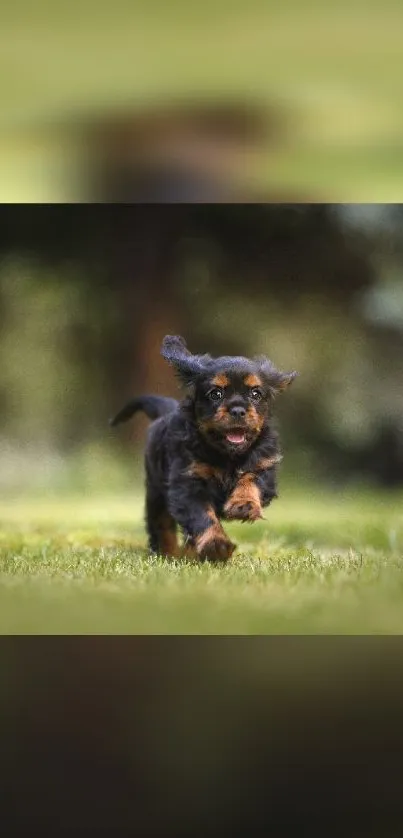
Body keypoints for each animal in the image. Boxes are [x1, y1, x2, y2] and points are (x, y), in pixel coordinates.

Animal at [110, 336, 296, 564]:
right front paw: (216, 545)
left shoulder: (264, 466)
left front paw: (243, 504)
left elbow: (250, 479)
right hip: (156, 491)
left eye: (255, 393)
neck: (228, 455)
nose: (238, 410)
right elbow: (203, 516)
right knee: (161, 524)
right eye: (216, 394)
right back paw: (169, 554)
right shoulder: (187, 483)